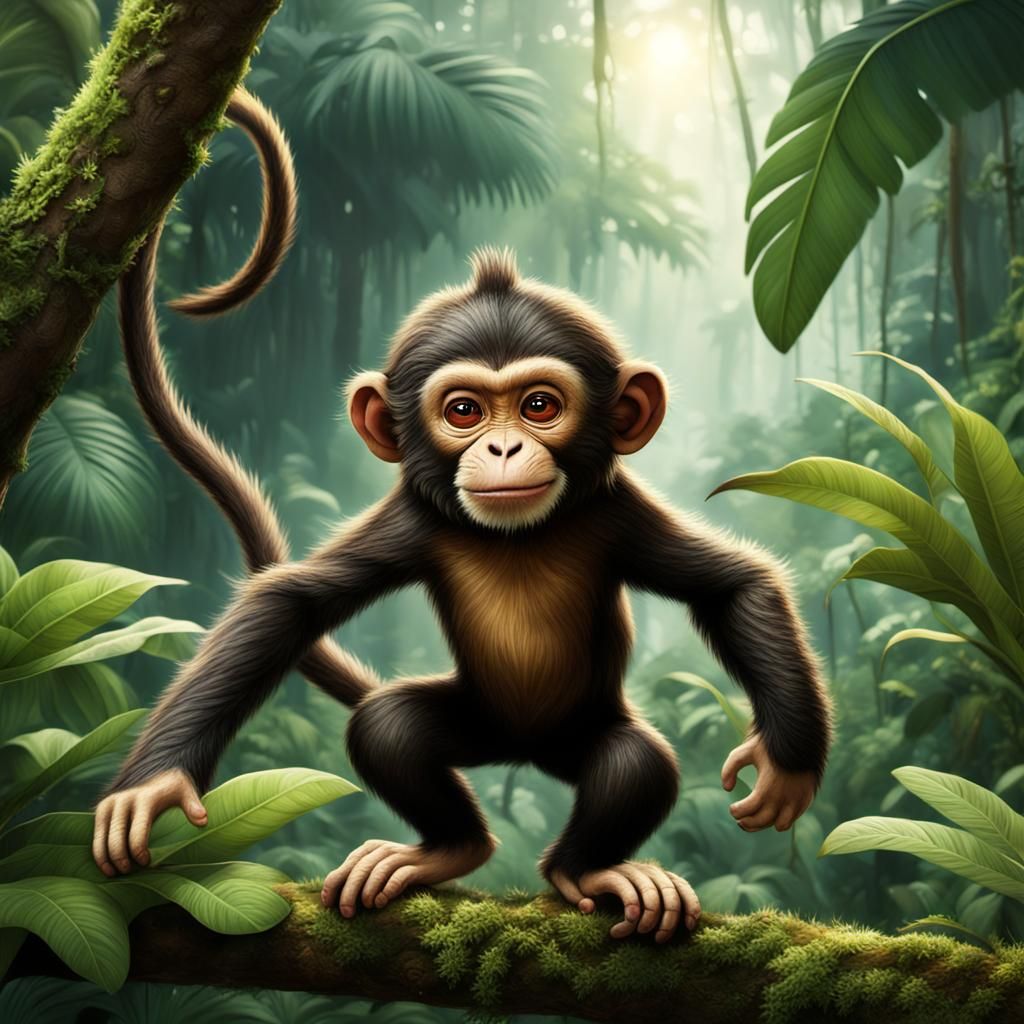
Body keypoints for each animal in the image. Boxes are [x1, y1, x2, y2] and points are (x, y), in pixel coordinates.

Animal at [92, 87, 834, 944]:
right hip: (472, 721)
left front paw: (787, 765)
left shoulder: (615, 512)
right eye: (464, 410)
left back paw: (589, 868)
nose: (505, 447)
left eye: (539, 405)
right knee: (390, 725)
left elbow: (730, 585)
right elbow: (293, 603)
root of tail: (522, 751)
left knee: (633, 764)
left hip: (582, 730)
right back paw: (449, 847)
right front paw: (155, 782)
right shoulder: (412, 518)